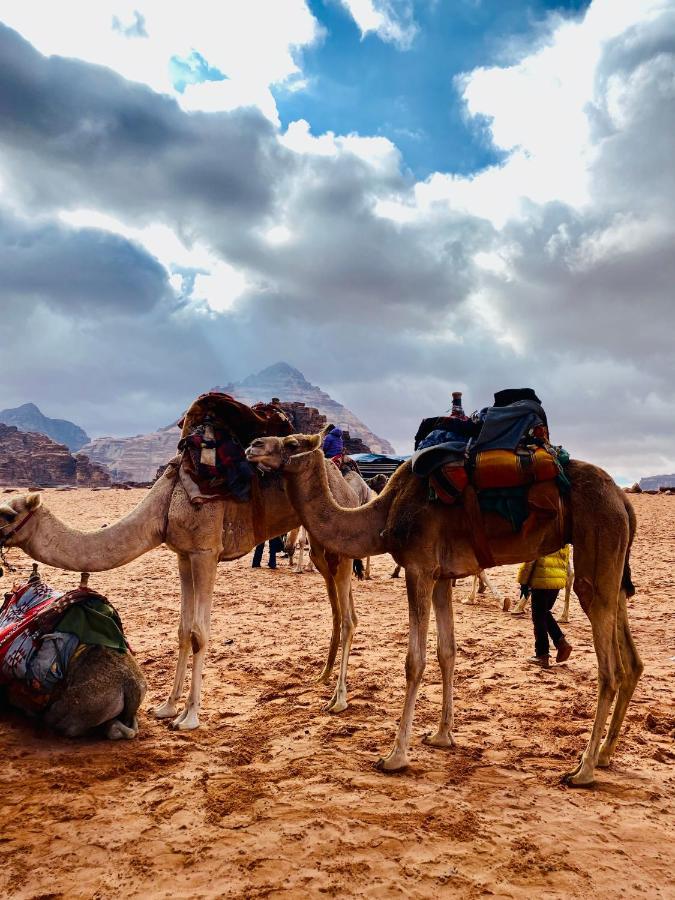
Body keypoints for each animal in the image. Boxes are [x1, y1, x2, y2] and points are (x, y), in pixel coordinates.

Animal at [247, 432, 644, 784]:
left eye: (292, 443)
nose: (252, 446)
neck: (382, 515)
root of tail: (623, 501)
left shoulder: (419, 567)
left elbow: (415, 661)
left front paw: (395, 756)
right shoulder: (441, 575)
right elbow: (447, 652)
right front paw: (441, 735)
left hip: (598, 544)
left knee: (608, 668)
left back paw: (583, 770)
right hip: (613, 561)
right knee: (631, 661)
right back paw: (605, 754)